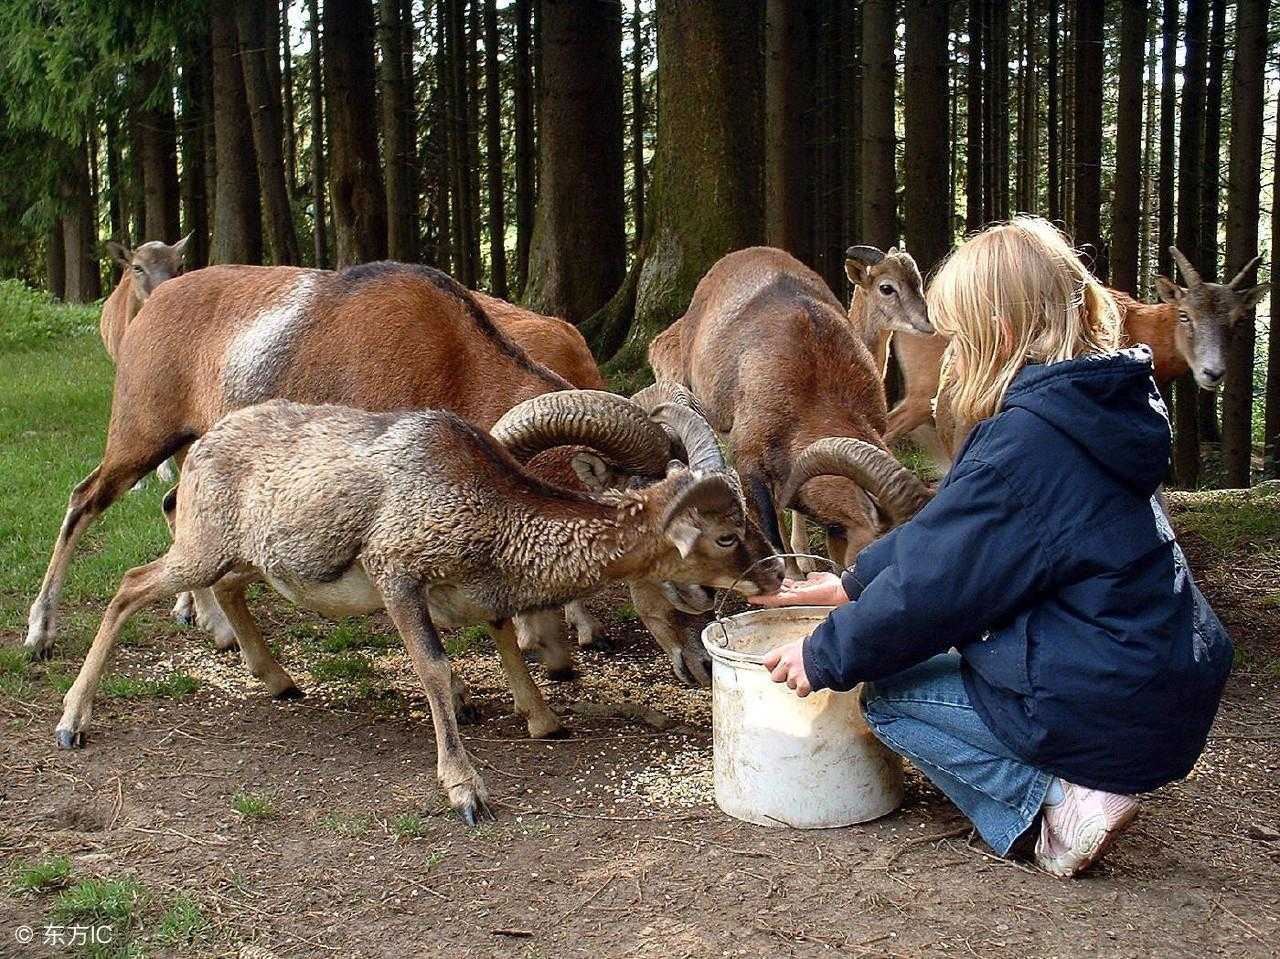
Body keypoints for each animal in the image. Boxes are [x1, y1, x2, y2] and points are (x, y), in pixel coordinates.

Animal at [57, 389, 778, 824]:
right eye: (724, 536)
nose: (771, 573)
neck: (486, 510)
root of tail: (203, 446)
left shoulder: (480, 595)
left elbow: (509, 643)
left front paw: (544, 721)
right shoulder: (398, 578)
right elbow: (434, 669)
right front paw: (467, 791)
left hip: (244, 559)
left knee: (229, 592)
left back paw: (281, 681)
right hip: (199, 551)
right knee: (128, 586)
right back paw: (72, 722)